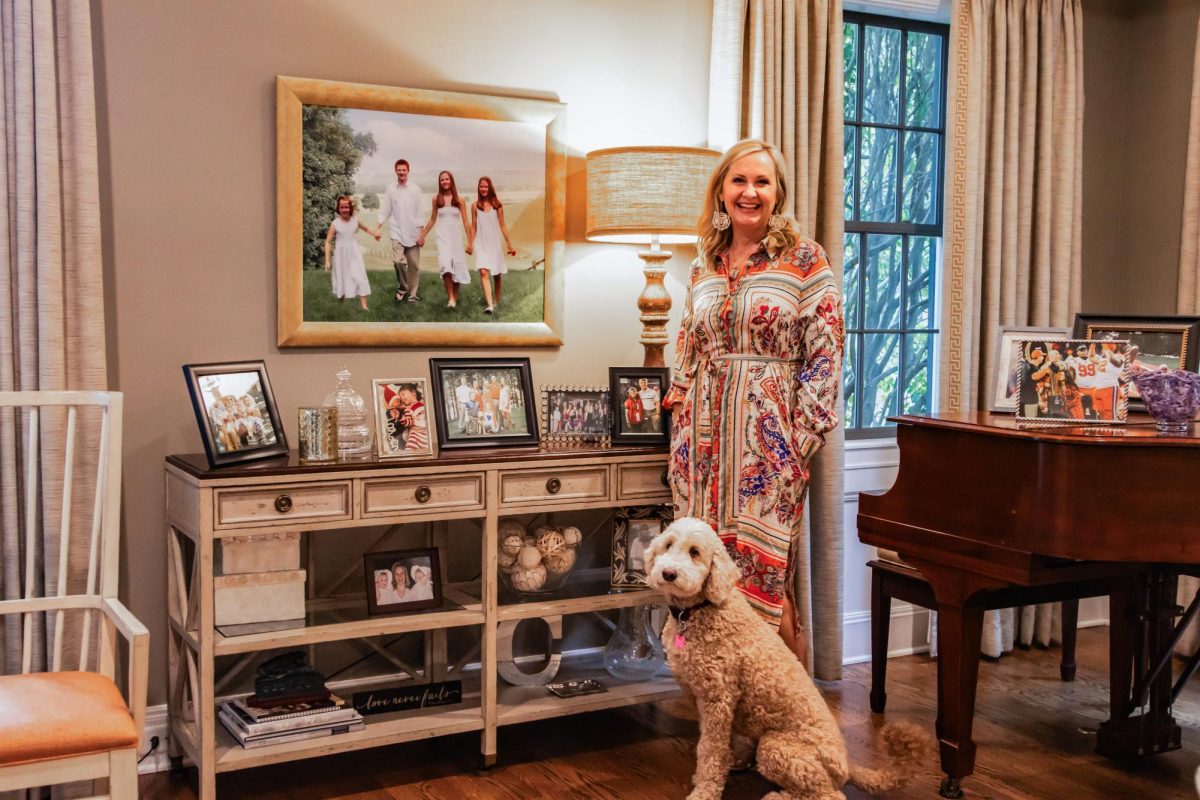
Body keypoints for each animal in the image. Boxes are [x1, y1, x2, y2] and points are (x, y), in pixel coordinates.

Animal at [648, 520, 926, 800]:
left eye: (694, 552)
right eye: (668, 544)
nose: (668, 573)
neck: (697, 610)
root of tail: (847, 766)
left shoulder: (717, 699)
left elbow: (710, 750)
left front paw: (704, 791)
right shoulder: (698, 695)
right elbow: (713, 746)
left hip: (776, 747)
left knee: (829, 794)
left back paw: (778, 796)